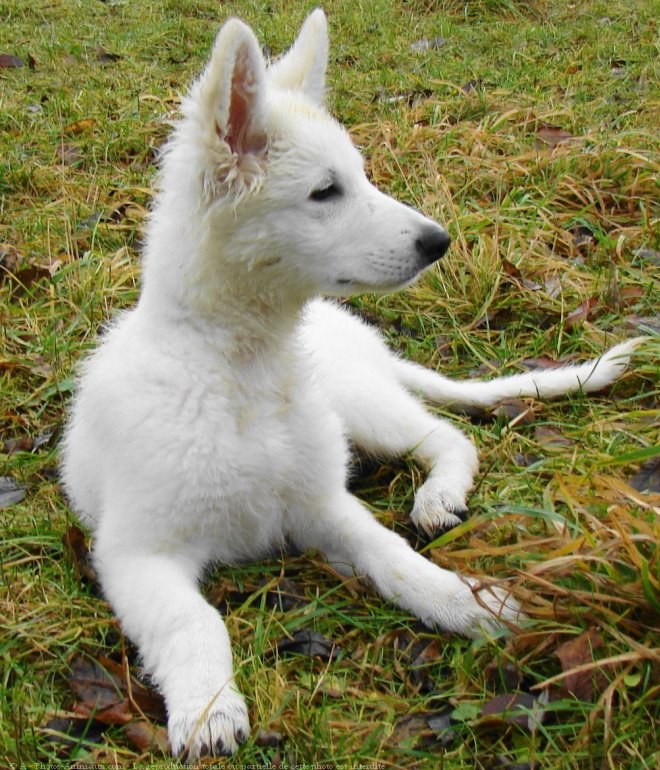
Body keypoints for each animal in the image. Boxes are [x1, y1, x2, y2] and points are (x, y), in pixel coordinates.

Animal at [60, 10, 640, 756]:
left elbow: (393, 556)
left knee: (448, 437)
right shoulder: (138, 553)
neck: (239, 374)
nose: (439, 242)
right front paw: (208, 708)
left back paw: (438, 496)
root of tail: (360, 338)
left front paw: (463, 600)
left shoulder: (322, 504)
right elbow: (195, 623)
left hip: (362, 407)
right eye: (325, 191)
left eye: (359, 177)